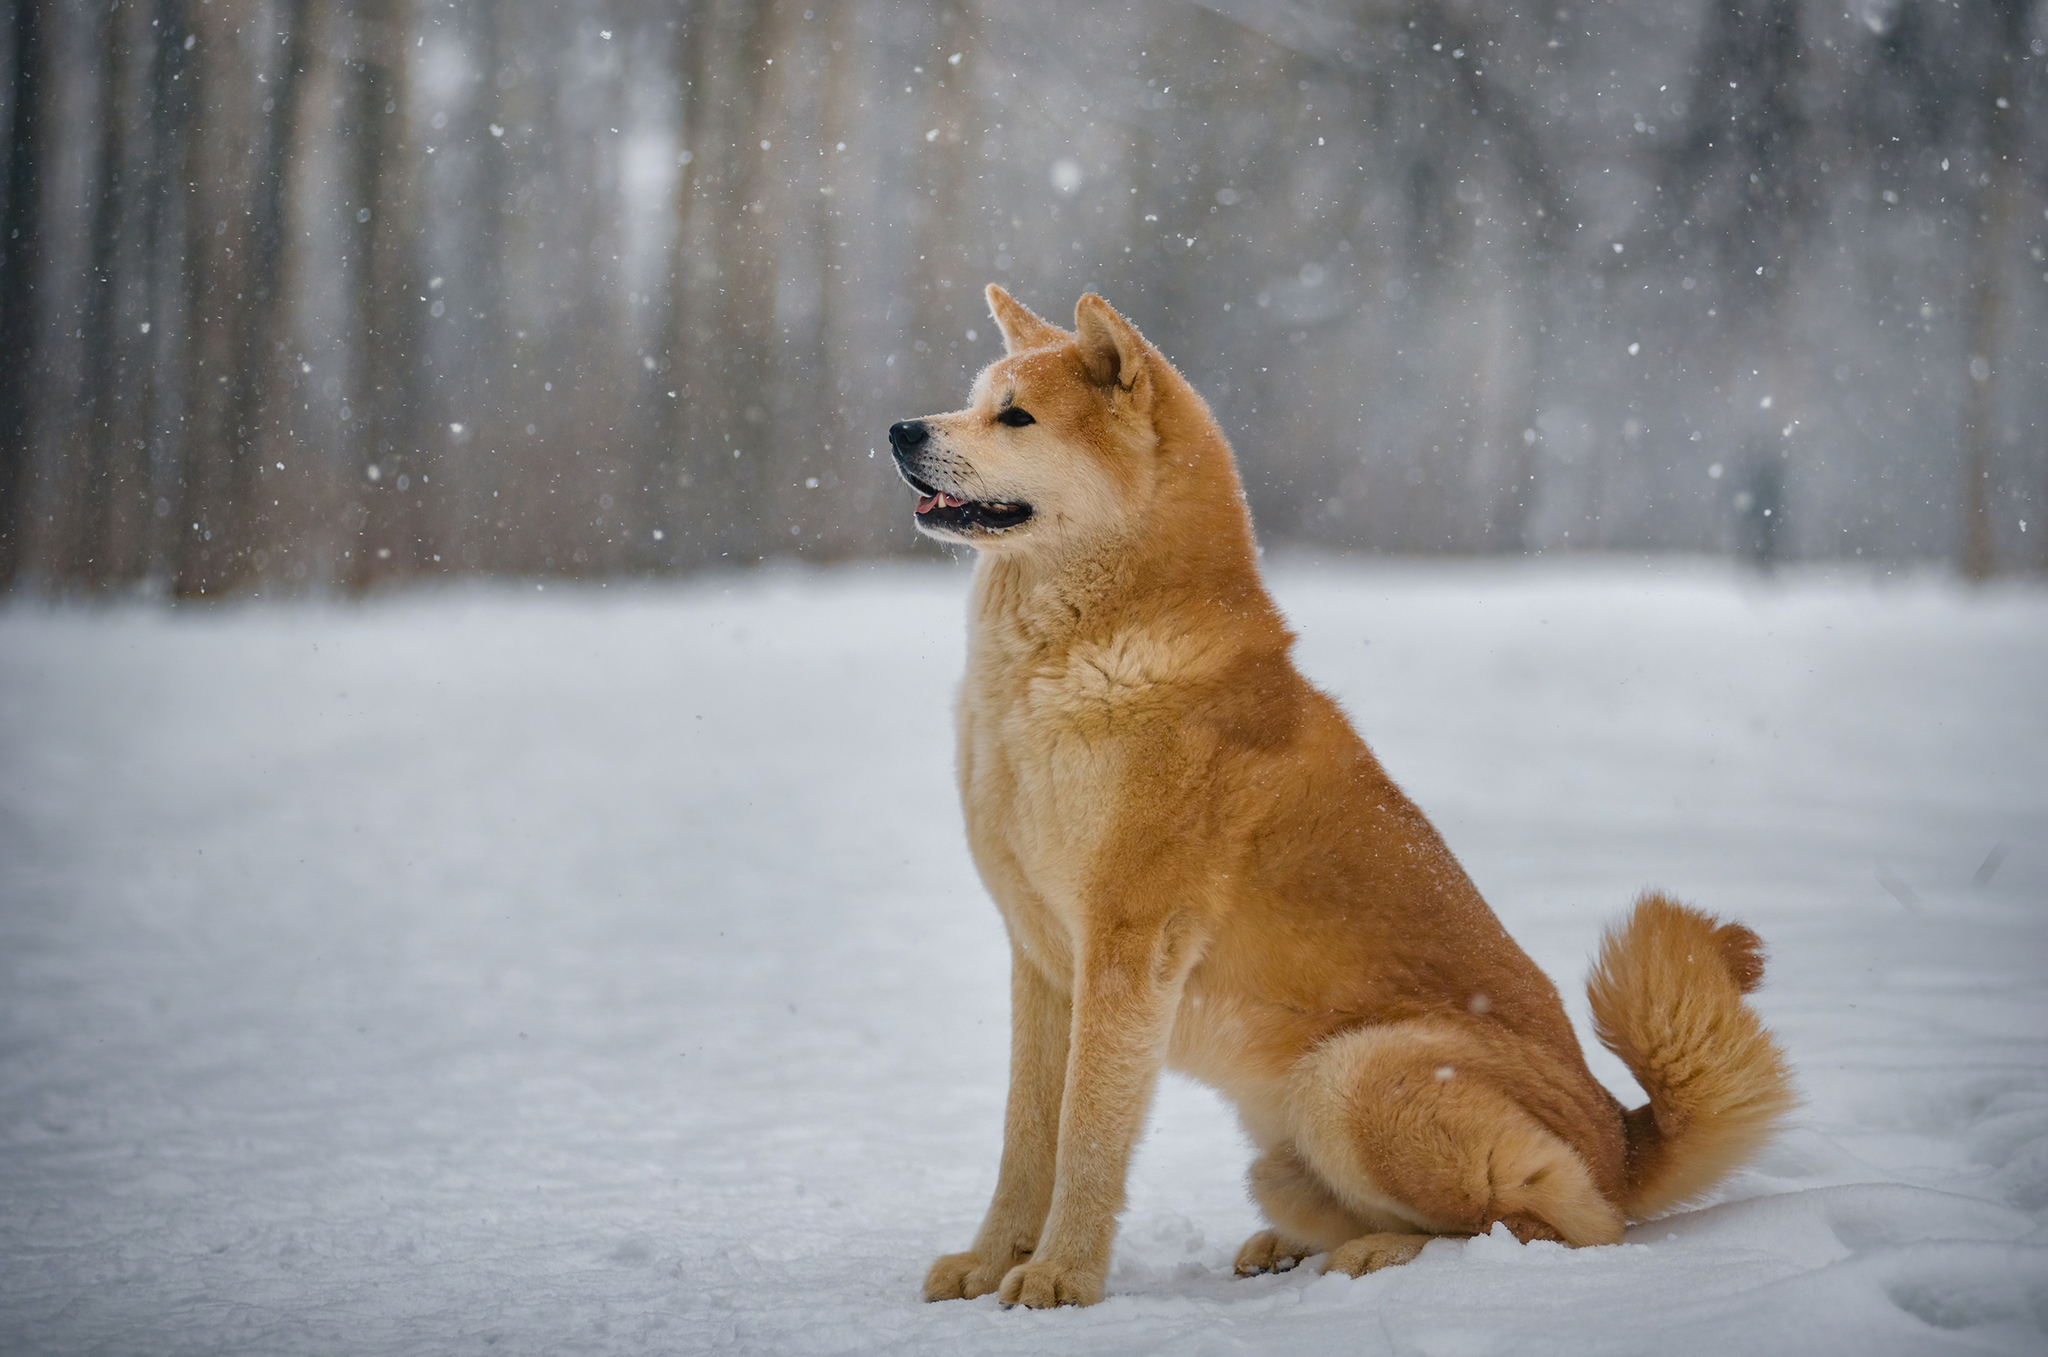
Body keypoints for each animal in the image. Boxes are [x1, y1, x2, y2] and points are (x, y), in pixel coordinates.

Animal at [888, 288, 1802, 1318]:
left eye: (1016, 416)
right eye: (974, 401)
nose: (900, 430)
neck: (1075, 661)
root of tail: (1621, 1132)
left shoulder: (1126, 949)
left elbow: (1086, 1137)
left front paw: (1060, 1276)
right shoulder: (1042, 960)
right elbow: (1024, 1138)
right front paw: (989, 1259)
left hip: (1354, 1074)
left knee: (1554, 1219)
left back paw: (1374, 1258)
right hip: (1285, 1150)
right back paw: (1292, 1246)